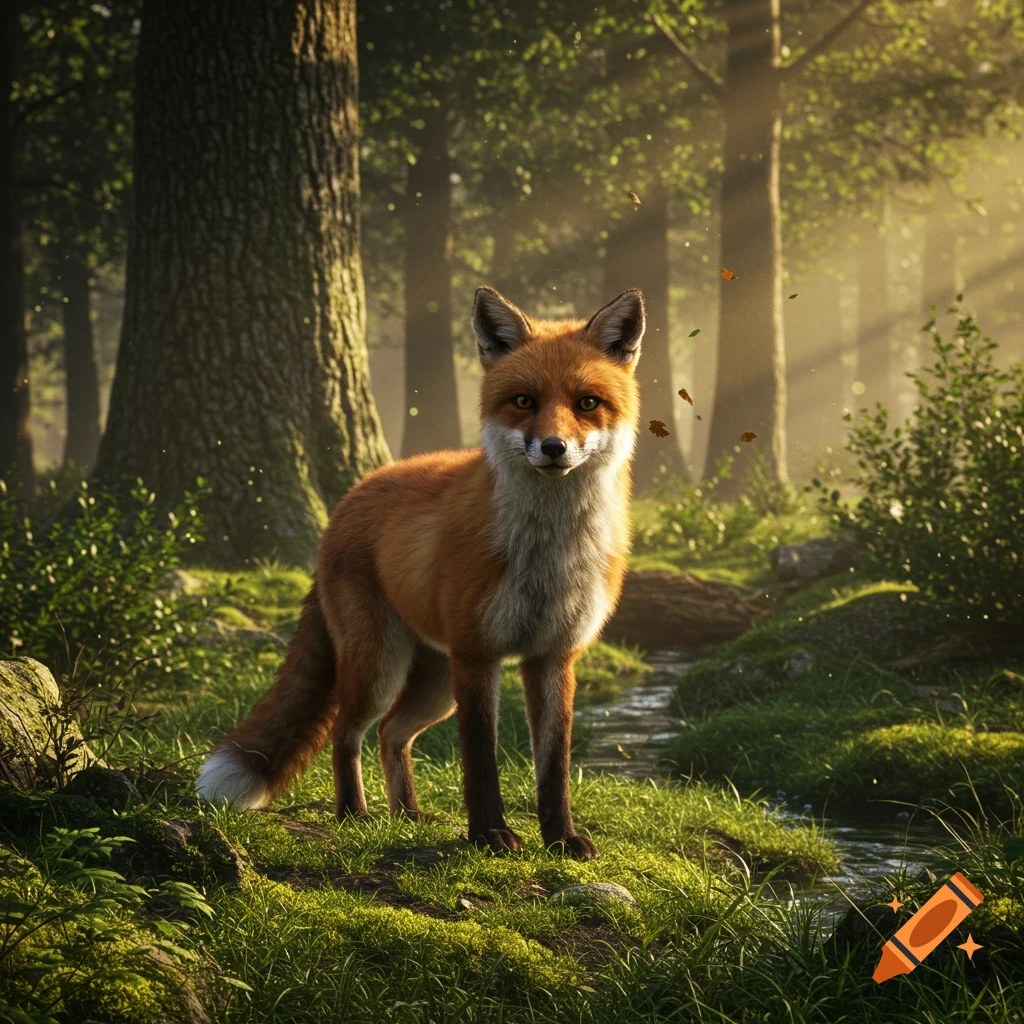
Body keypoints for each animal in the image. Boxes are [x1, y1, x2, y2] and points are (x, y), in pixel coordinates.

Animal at [195, 285, 646, 860]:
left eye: (587, 403)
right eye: (523, 401)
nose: (553, 448)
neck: (547, 555)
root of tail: (348, 499)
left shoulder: (554, 658)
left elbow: (555, 766)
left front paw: (561, 839)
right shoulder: (477, 655)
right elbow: (479, 761)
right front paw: (489, 836)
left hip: (433, 683)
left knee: (392, 733)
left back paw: (406, 815)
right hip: (381, 667)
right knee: (347, 730)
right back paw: (355, 815)